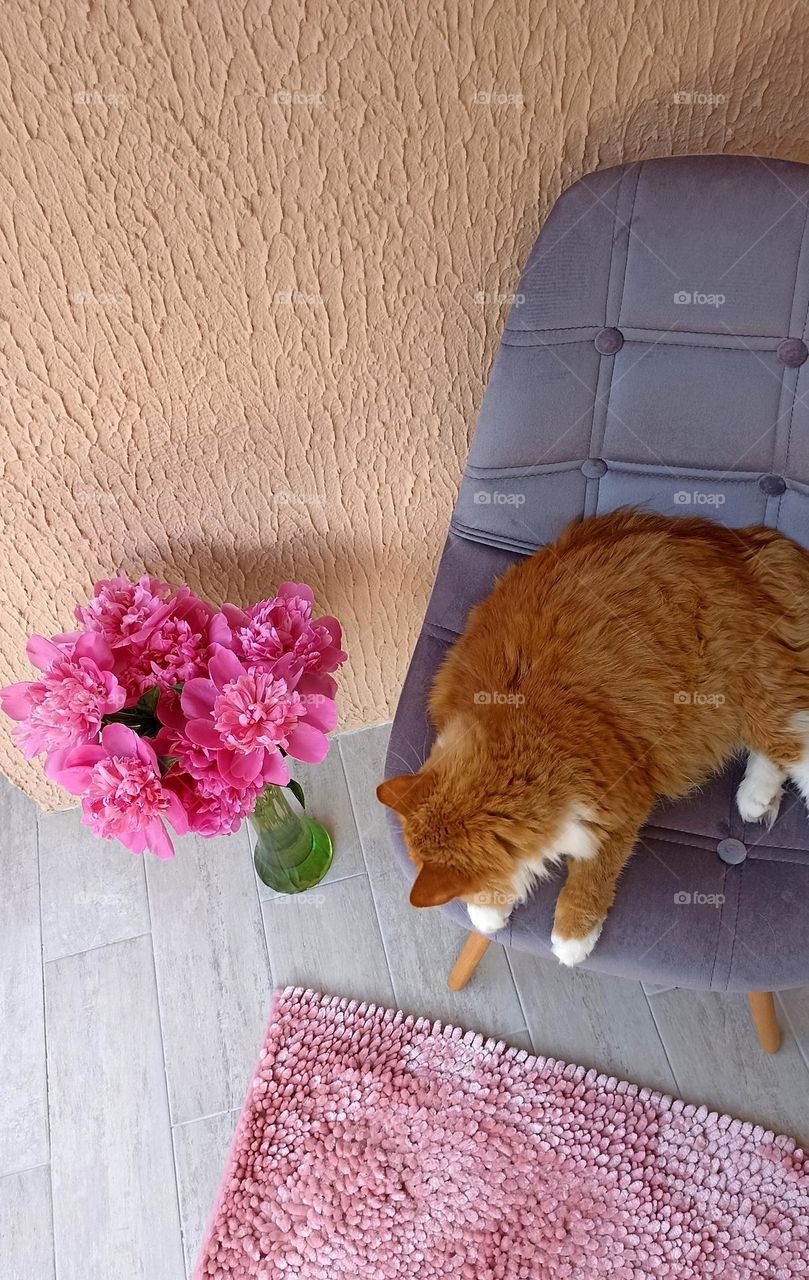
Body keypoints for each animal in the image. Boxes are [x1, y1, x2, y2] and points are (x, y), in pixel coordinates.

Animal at [378, 504, 809, 962]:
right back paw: (755, 800)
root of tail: (748, 544)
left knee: (796, 743)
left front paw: (571, 940)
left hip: (743, 691)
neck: (516, 730)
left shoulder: (619, 804)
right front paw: (489, 914)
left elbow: (590, 878)